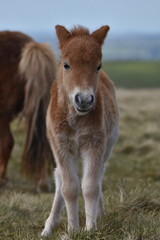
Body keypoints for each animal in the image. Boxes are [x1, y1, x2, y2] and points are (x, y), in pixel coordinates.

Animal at [41, 24, 119, 236]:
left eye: (98, 66)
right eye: (66, 65)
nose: (84, 99)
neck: (76, 120)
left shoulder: (94, 145)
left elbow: (91, 186)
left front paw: (91, 228)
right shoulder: (61, 148)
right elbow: (69, 188)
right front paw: (73, 229)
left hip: (107, 148)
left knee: (99, 176)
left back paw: (101, 213)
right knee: (59, 179)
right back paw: (49, 226)